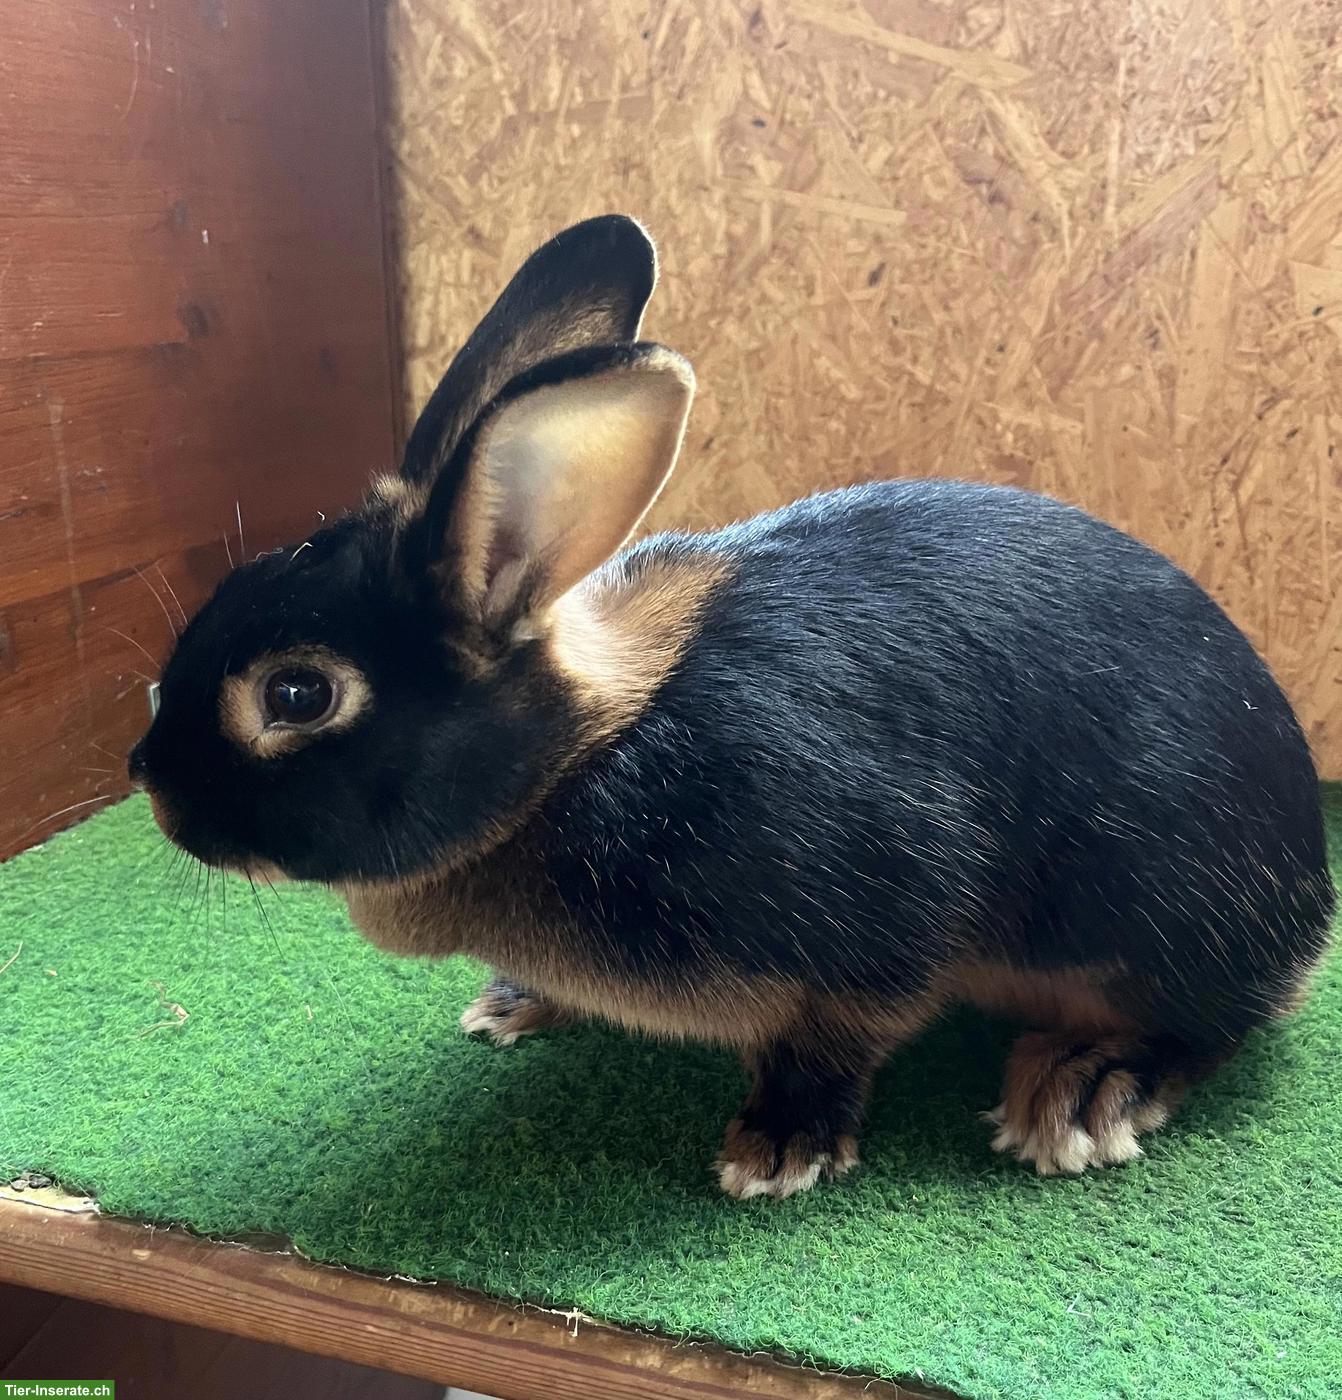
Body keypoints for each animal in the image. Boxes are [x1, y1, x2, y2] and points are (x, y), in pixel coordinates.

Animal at [130, 214, 1336, 1198]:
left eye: (297, 693)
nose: (149, 778)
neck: (569, 766)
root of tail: (1305, 891)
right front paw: (515, 1003)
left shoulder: (881, 917)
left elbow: (840, 1034)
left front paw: (781, 1145)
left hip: (1149, 906)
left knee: (1210, 1021)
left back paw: (1082, 1086)